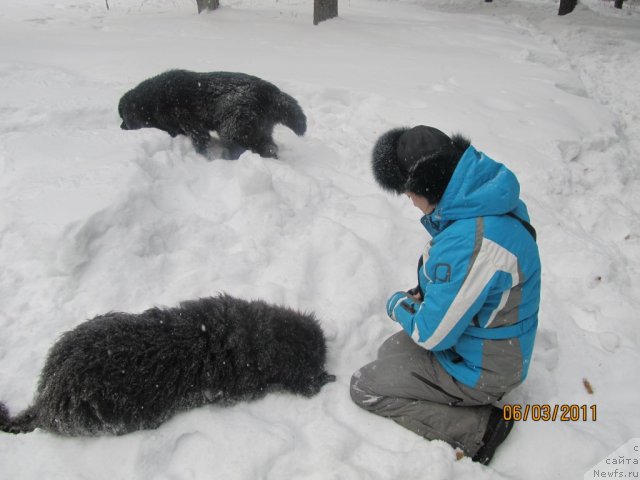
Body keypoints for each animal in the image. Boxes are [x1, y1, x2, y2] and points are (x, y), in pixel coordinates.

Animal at [120, 69, 310, 159]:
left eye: (124, 118)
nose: (121, 127)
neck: (152, 100)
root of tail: (270, 92)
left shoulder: (191, 125)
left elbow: (201, 144)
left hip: (232, 130)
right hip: (259, 132)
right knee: (270, 148)